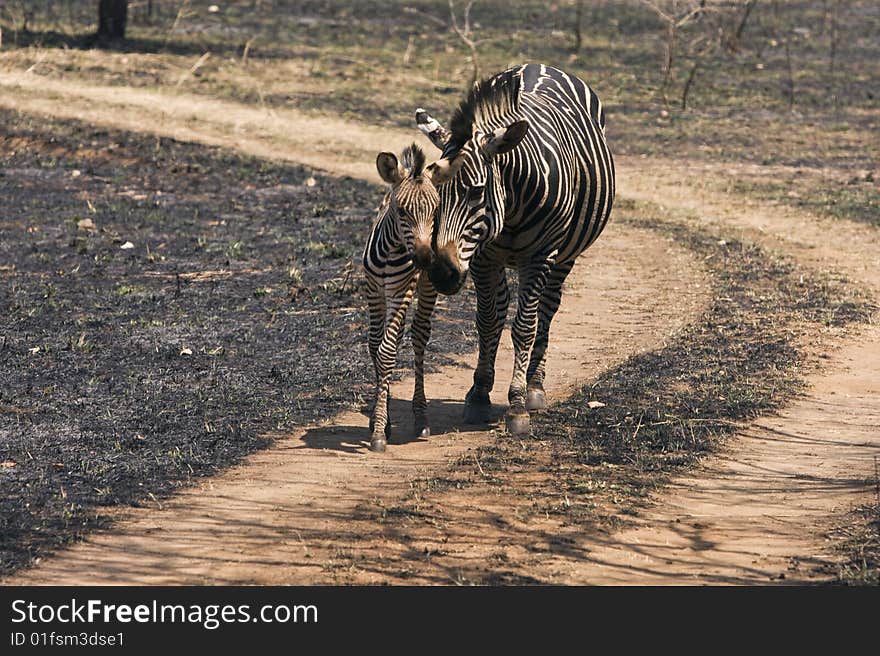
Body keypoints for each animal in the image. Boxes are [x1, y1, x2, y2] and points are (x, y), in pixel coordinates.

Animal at [418, 62, 612, 436]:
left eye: (476, 192)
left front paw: (518, 403)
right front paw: (479, 395)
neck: (511, 207)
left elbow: (525, 326)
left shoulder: (540, 257)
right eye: (434, 191)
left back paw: (535, 385)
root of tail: (543, 65)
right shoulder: (482, 258)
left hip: (563, 257)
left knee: (546, 311)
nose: (441, 273)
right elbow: (488, 321)